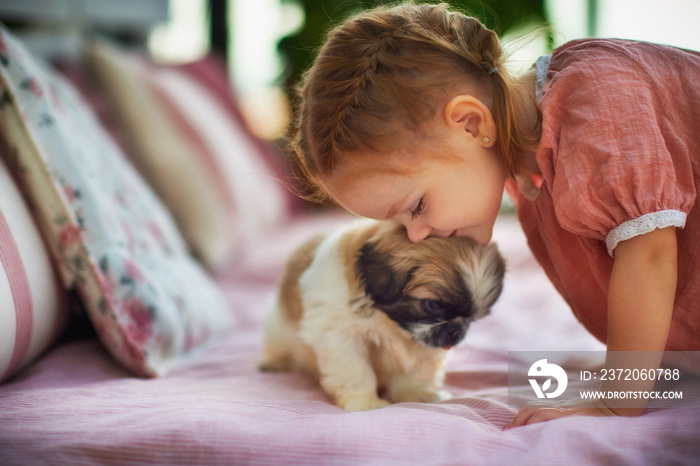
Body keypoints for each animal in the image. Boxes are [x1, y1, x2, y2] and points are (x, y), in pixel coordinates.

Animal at [258, 218, 504, 412]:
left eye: (473, 318)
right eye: (433, 305)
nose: (456, 331)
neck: (387, 323)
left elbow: (416, 374)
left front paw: (418, 394)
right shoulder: (339, 336)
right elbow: (355, 371)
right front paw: (365, 402)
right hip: (277, 326)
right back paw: (274, 362)